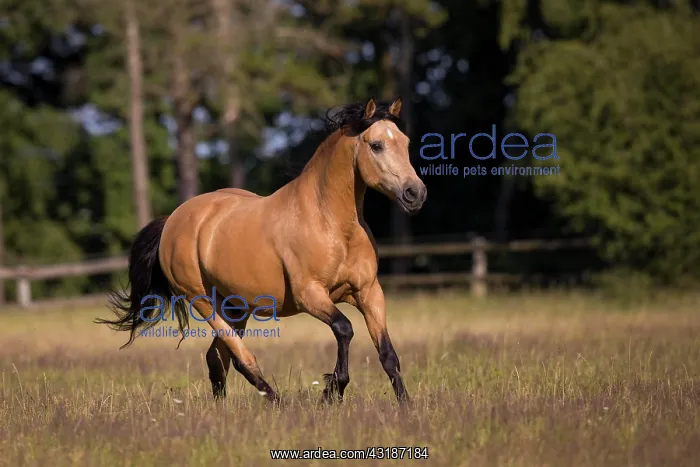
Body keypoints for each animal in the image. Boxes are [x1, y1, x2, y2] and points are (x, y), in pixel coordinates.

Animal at [96, 97, 427, 404]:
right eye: (376, 145)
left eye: (406, 143)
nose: (415, 193)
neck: (330, 223)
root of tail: (173, 221)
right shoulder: (310, 295)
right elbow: (344, 328)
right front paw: (332, 390)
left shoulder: (369, 292)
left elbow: (387, 353)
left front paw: (405, 405)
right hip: (202, 301)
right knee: (241, 358)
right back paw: (277, 401)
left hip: (234, 306)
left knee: (217, 358)